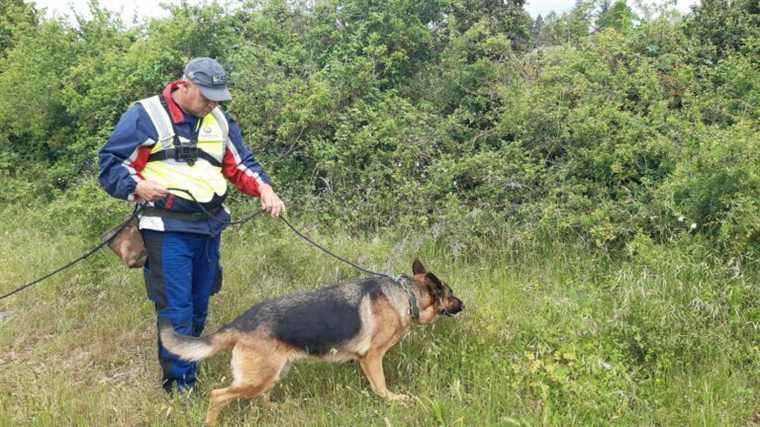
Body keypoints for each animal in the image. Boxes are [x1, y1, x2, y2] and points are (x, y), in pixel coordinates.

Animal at [160, 260, 464, 426]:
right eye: (450, 293)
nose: (463, 304)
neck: (406, 294)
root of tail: (239, 323)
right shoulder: (372, 357)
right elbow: (381, 386)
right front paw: (393, 400)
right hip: (258, 378)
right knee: (218, 395)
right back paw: (210, 422)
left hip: (273, 373)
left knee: (261, 399)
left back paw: (279, 409)